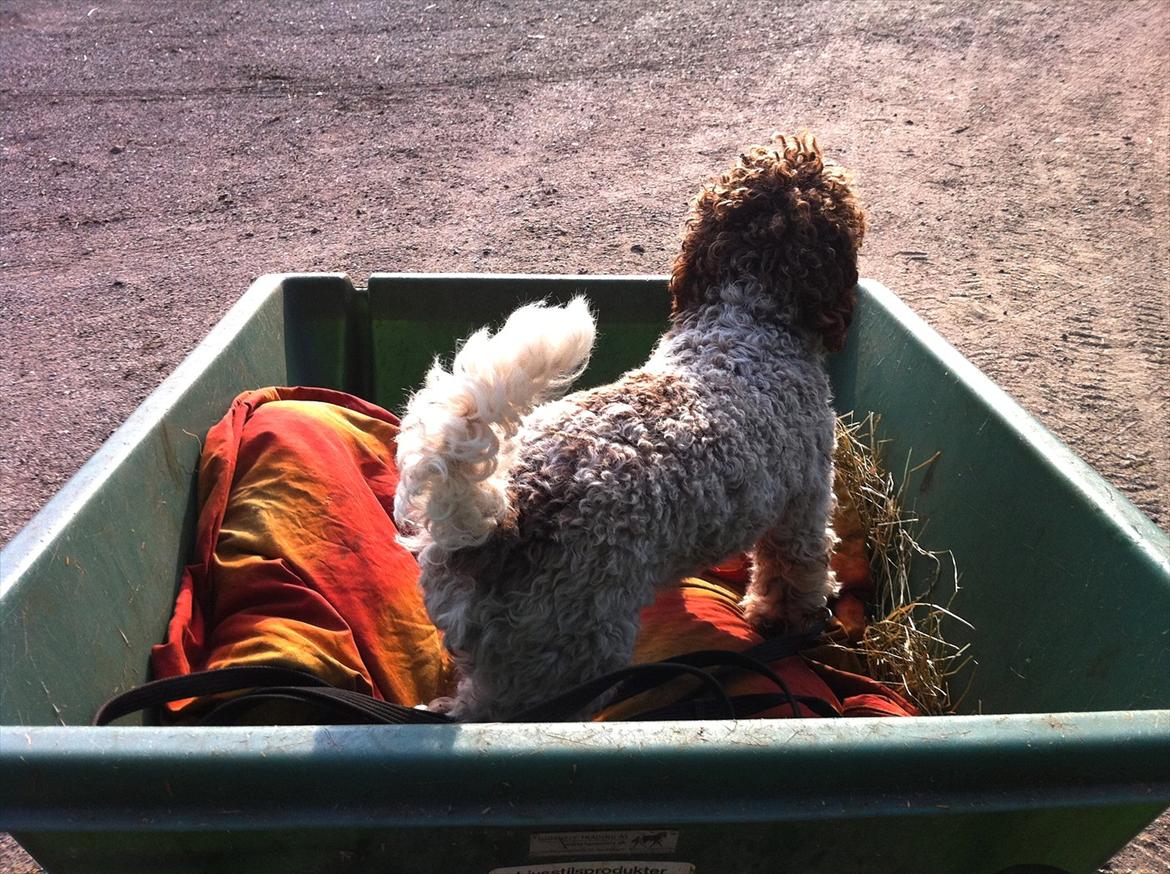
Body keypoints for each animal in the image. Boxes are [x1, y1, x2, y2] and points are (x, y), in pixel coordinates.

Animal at [397, 133, 865, 720]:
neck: (745, 319)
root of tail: (504, 517)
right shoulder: (803, 506)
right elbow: (795, 574)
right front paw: (786, 619)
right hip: (564, 664)